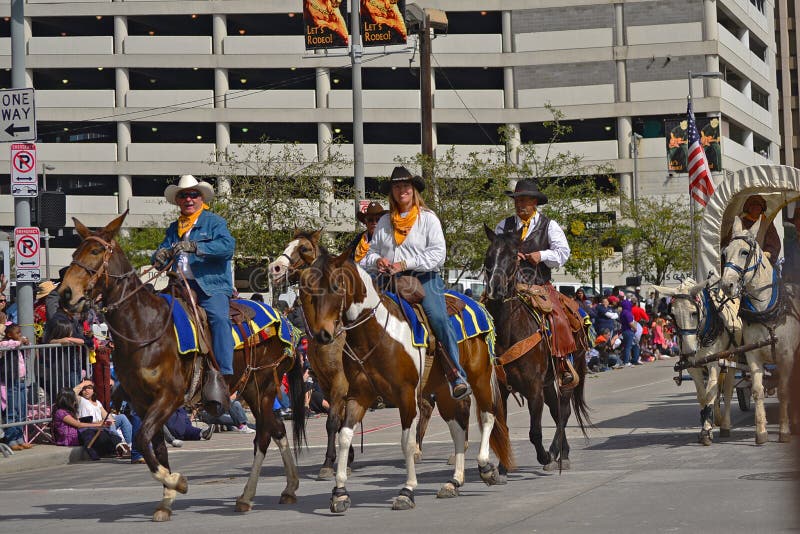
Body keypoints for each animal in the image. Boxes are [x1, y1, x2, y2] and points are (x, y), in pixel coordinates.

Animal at [57, 214, 308, 524]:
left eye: (95, 251)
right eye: (73, 253)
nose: (65, 293)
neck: (145, 328)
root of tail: (284, 321)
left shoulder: (169, 397)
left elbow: (143, 438)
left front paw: (178, 482)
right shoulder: (141, 402)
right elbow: (155, 445)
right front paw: (166, 499)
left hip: (264, 384)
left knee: (264, 435)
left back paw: (248, 496)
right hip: (251, 387)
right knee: (277, 429)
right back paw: (288, 487)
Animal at [298, 249, 512, 512]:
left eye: (336, 286)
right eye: (307, 289)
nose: (323, 335)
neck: (375, 334)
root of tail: (478, 305)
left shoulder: (406, 395)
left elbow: (407, 442)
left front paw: (407, 491)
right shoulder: (358, 395)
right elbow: (344, 437)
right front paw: (339, 493)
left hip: (479, 376)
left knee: (488, 415)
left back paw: (485, 467)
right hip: (443, 389)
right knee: (458, 427)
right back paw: (454, 481)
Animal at [482, 226, 588, 474]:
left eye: (514, 256)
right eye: (488, 256)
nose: (495, 289)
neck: (510, 331)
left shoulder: (533, 388)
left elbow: (535, 431)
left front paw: (545, 457)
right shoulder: (502, 389)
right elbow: (504, 429)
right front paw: (503, 467)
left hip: (566, 375)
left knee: (564, 412)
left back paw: (556, 454)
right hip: (549, 383)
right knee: (557, 412)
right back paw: (563, 452)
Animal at [652, 278, 740, 446]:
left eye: (693, 312)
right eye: (672, 314)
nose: (688, 351)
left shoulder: (714, 363)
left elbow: (710, 393)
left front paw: (706, 430)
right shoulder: (693, 367)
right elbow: (702, 396)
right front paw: (706, 422)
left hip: (731, 359)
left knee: (727, 390)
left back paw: (725, 424)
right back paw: (717, 419)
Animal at [720, 216, 800, 446]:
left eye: (744, 252)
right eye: (724, 253)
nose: (726, 285)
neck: (766, 311)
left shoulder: (786, 356)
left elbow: (784, 392)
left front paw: (783, 431)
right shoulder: (753, 355)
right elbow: (757, 391)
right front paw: (761, 432)